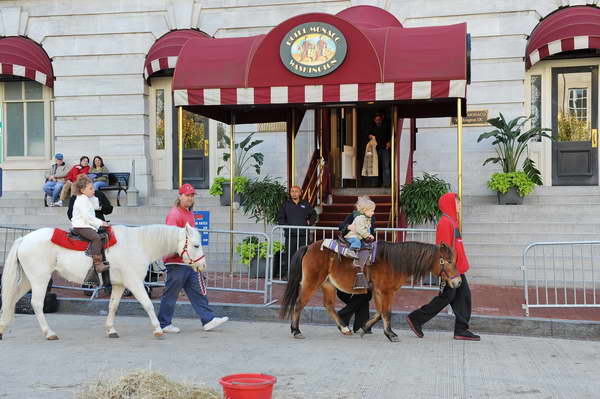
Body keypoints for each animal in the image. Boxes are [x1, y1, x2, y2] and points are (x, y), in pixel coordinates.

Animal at [0, 225, 205, 340]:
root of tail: (24, 238)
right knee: (36, 303)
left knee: (11, 300)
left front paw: (111, 329)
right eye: (196, 245)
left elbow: (113, 306)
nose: (202, 265)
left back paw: (3, 328)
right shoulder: (135, 282)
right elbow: (148, 304)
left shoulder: (120, 285)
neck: (138, 243)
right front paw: (158, 330)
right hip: (40, 279)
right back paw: (49, 333)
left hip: (28, 280)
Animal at [278, 239, 462, 342]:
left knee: (329, 305)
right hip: (311, 282)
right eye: (449, 261)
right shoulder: (386, 292)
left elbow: (380, 313)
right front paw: (391, 334)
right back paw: (296, 331)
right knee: (299, 304)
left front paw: (365, 328)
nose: (459, 282)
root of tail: (309, 247)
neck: (393, 261)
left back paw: (344, 328)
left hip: (328, 285)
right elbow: (386, 313)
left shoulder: (379, 292)